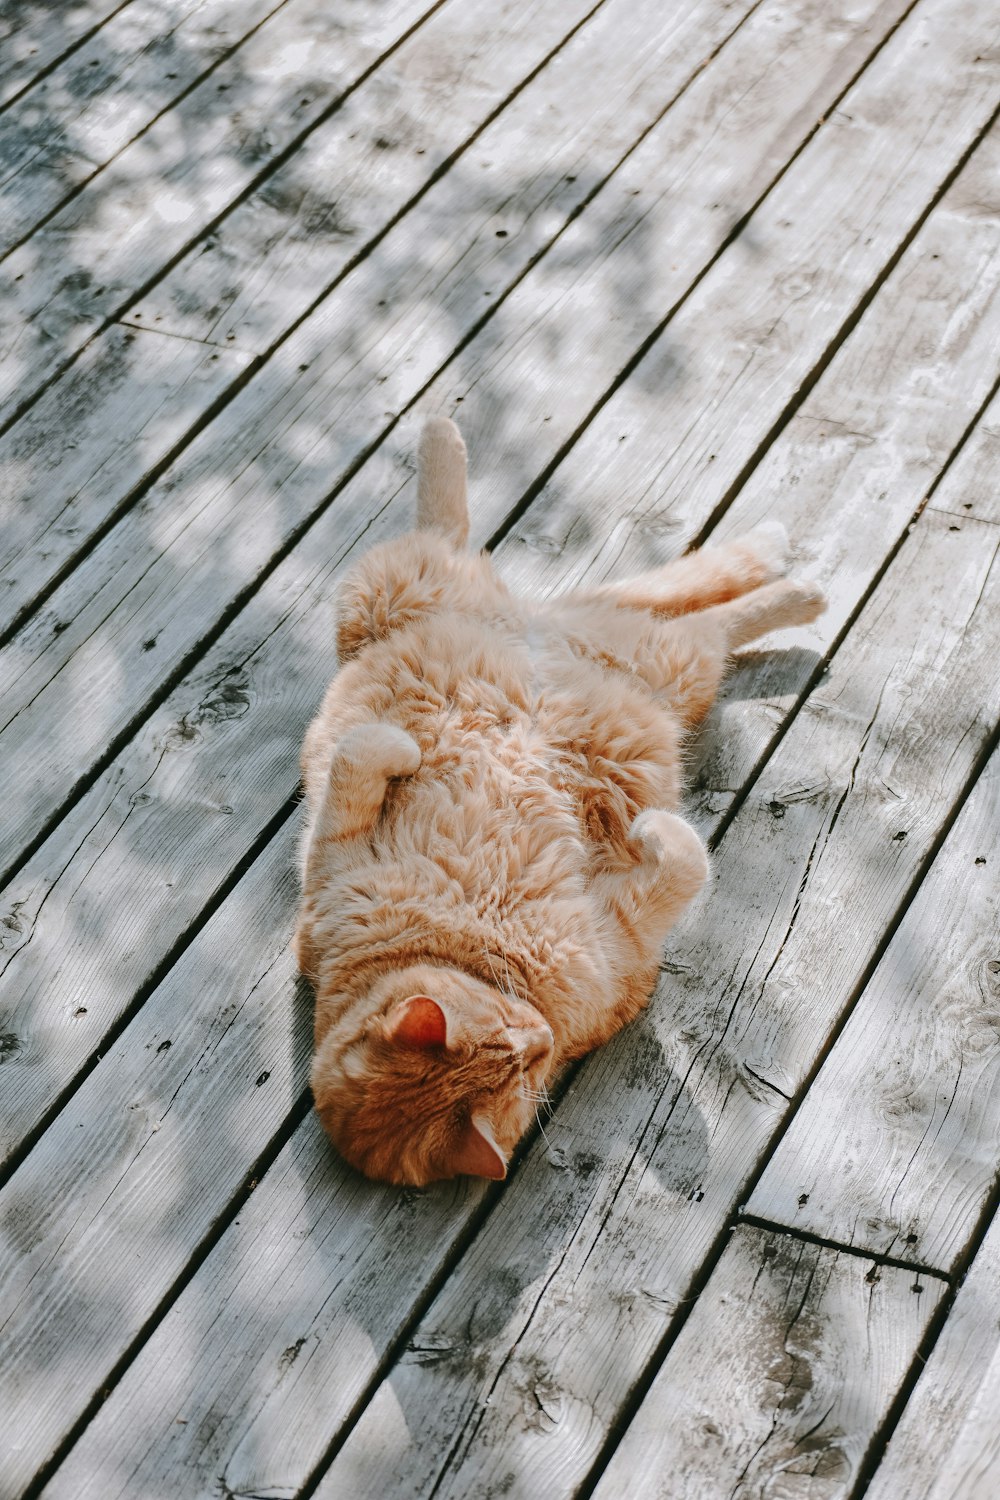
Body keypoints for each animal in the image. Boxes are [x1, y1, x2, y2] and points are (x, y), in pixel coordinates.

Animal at [293, 414, 827, 1182]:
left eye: (515, 1039)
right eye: (521, 1064)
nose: (540, 1037)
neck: (468, 950)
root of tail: (532, 628)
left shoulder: (334, 855)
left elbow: (360, 757)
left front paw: (401, 751)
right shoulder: (626, 940)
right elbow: (686, 860)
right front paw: (657, 832)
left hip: (400, 592)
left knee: (458, 532)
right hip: (661, 666)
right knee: (697, 616)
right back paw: (797, 581)